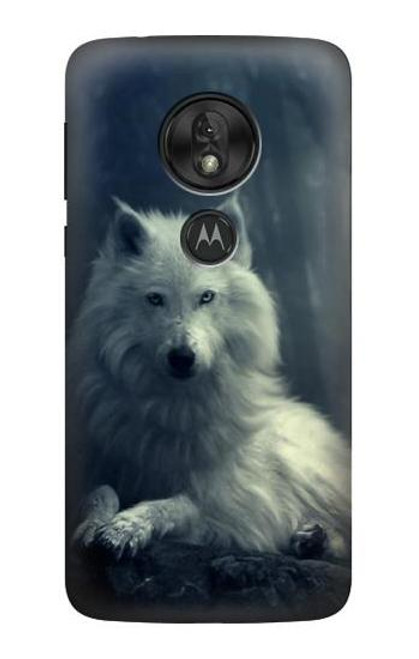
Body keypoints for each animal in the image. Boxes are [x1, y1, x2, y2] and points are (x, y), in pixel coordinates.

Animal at [70, 196, 350, 560]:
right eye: (155, 298)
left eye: (206, 297)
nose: (182, 358)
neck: (174, 408)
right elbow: (100, 491)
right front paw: (93, 525)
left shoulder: (234, 510)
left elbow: (179, 504)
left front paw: (125, 528)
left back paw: (315, 538)